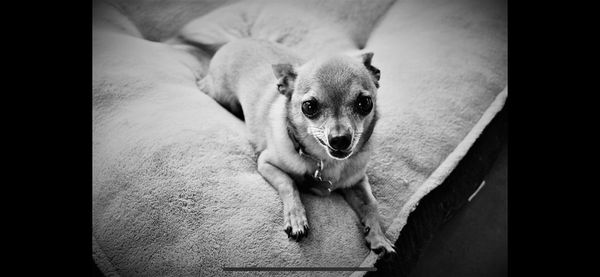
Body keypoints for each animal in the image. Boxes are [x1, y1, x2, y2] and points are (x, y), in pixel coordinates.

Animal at [197, 37, 394, 253]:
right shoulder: (266, 163)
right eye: (309, 106)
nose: (340, 138)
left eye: (365, 102)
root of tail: (234, 41)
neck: (325, 161)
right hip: (221, 94)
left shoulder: (357, 180)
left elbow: (372, 203)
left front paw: (379, 236)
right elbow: (289, 183)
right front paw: (296, 219)